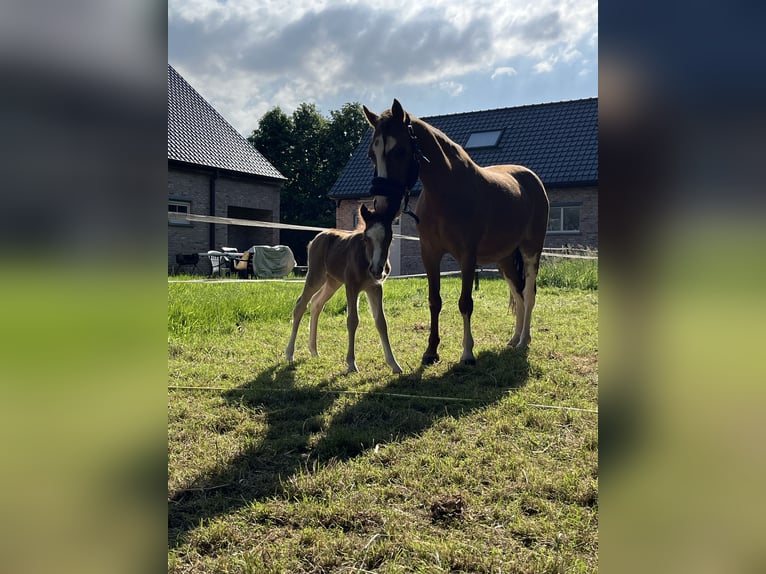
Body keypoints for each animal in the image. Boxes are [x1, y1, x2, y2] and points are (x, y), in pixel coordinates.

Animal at [285, 203, 403, 374]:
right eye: (366, 238)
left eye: (389, 238)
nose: (376, 270)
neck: (365, 257)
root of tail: (316, 239)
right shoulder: (351, 286)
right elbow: (352, 320)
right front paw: (351, 363)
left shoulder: (375, 287)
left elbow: (381, 321)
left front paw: (394, 364)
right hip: (316, 276)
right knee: (301, 305)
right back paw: (289, 353)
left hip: (332, 282)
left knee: (316, 303)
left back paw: (314, 350)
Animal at [362, 99, 550, 365]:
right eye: (372, 154)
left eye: (399, 151)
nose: (382, 206)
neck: (445, 192)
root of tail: (532, 179)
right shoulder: (430, 254)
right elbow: (434, 301)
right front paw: (431, 351)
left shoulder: (467, 257)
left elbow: (465, 303)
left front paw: (468, 353)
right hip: (504, 259)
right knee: (518, 295)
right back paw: (514, 339)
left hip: (531, 250)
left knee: (529, 293)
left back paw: (524, 340)